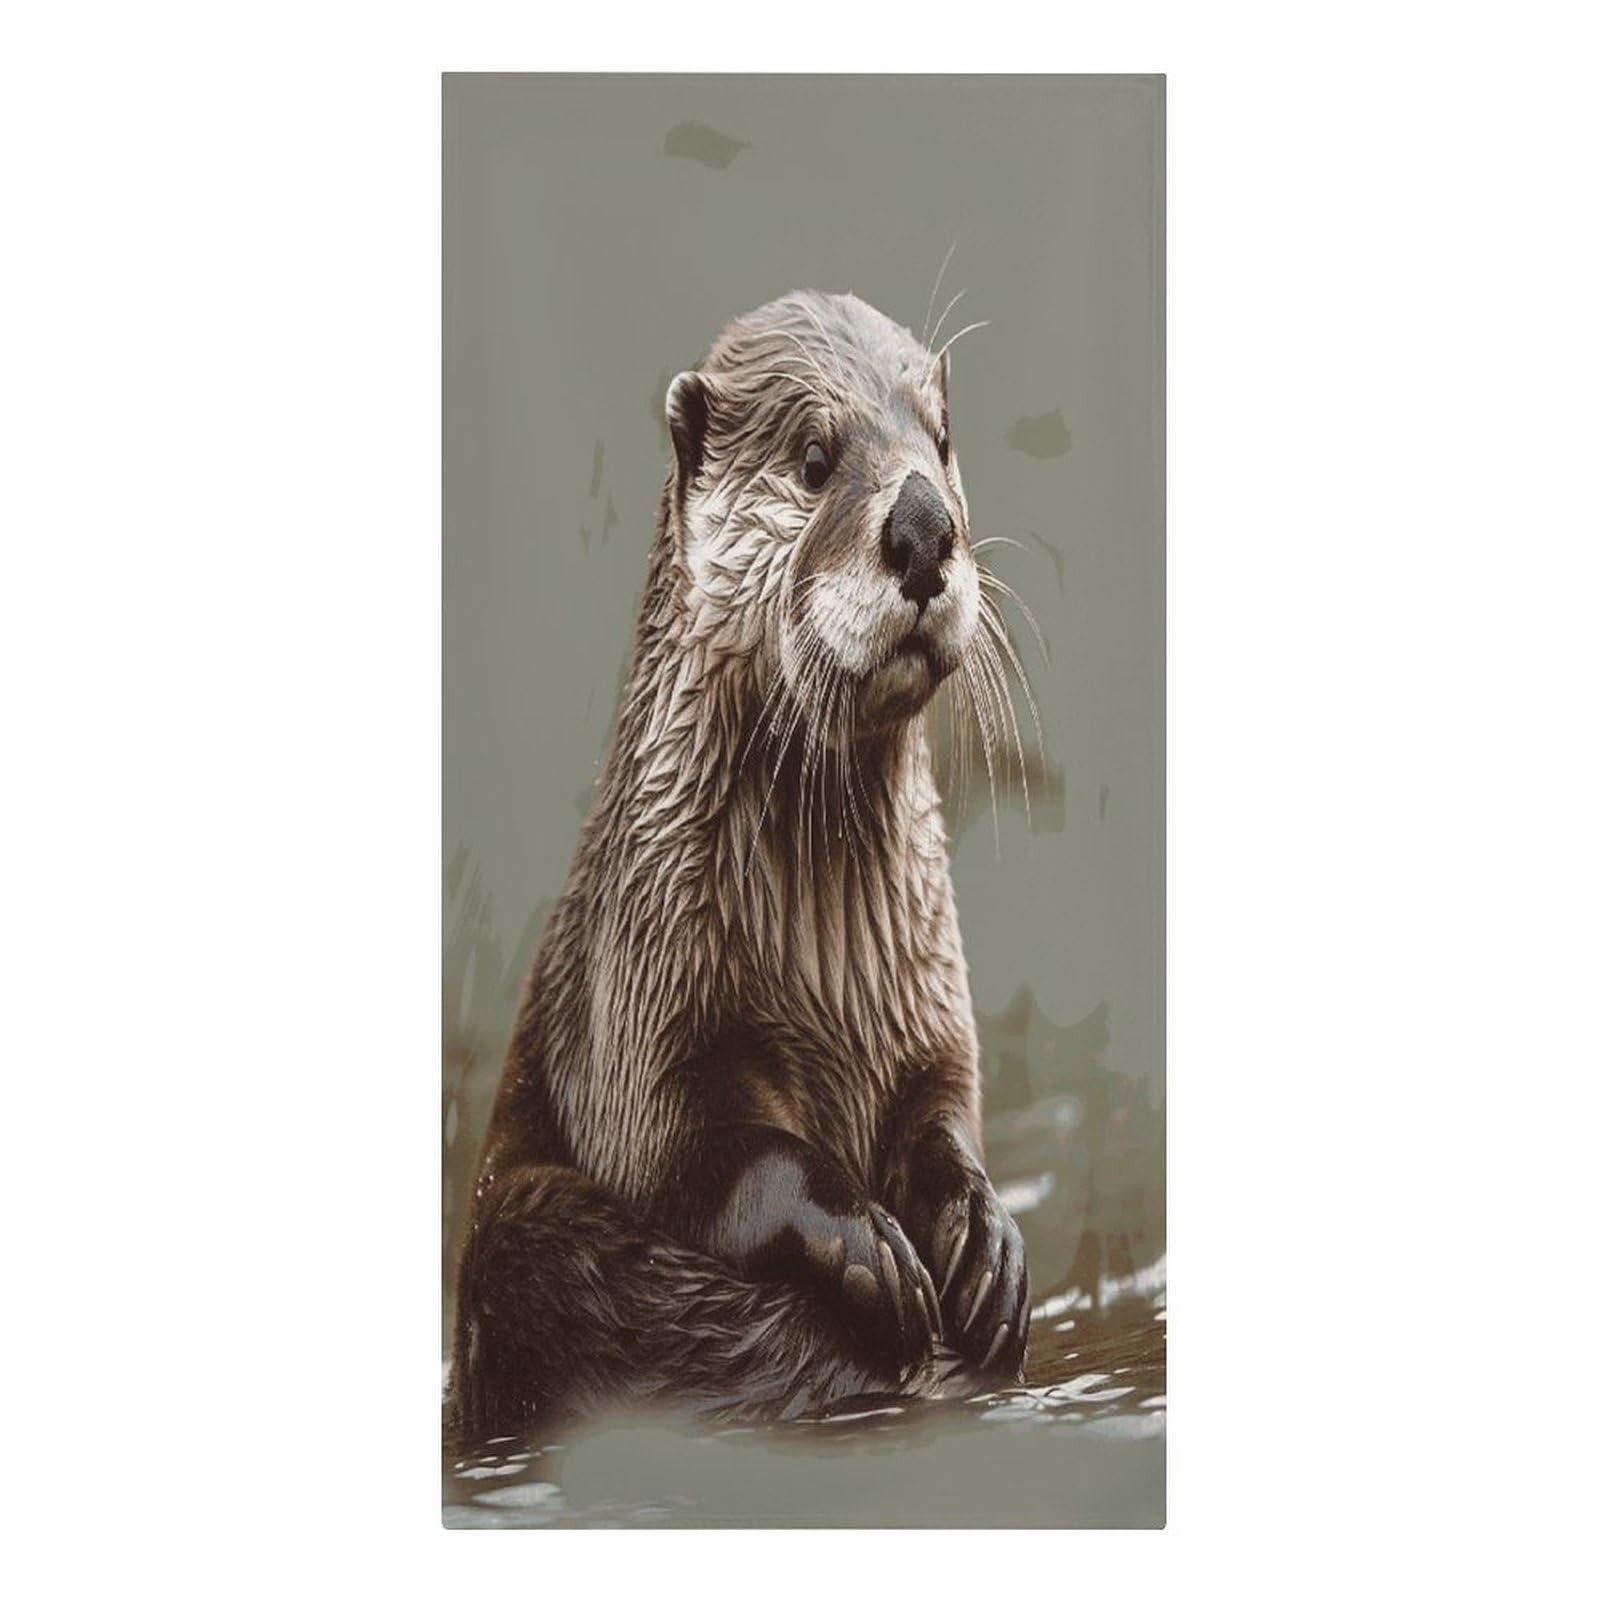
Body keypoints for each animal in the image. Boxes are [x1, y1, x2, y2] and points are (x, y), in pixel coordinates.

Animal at [448, 289, 1030, 1436]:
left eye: (940, 441)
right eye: (812, 456)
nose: (925, 526)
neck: (828, 972)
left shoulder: (929, 1010)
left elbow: (944, 1117)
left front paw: (986, 1234)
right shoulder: (633, 1006)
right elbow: (696, 1152)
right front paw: (867, 1242)